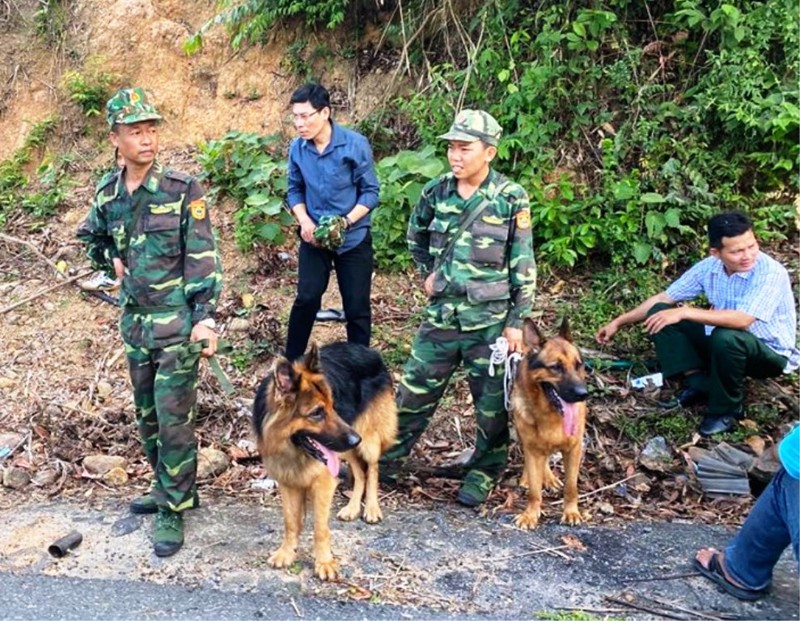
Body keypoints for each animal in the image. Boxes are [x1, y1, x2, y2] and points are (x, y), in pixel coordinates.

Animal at [253, 342, 396, 580]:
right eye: (317, 413)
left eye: (332, 406)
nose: (355, 439)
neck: (294, 450)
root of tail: (369, 350)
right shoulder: (288, 482)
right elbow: (290, 522)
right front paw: (287, 552)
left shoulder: (323, 482)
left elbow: (320, 527)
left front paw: (324, 562)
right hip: (345, 449)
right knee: (359, 472)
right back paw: (352, 507)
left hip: (366, 439)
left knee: (372, 468)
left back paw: (371, 508)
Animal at [512, 320, 588, 528]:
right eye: (556, 367)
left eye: (578, 365)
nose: (583, 394)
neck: (551, 414)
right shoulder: (532, 448)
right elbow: (534, 491)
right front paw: (530, 514)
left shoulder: (574, 449)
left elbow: (571, 487)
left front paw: (571, 512)